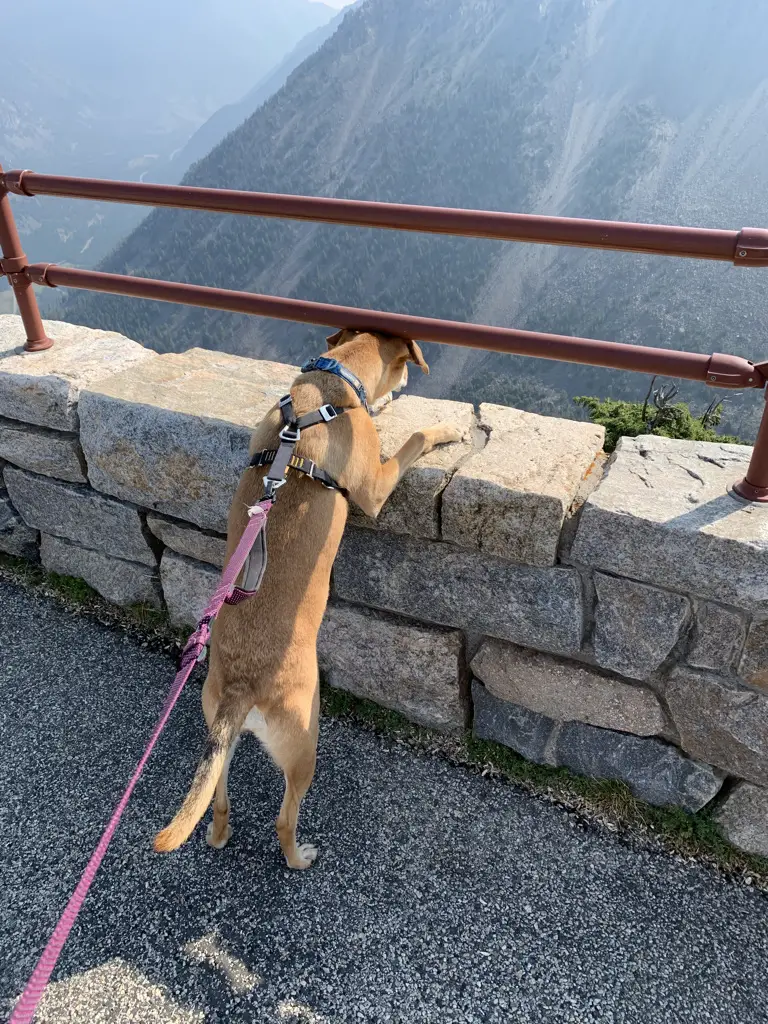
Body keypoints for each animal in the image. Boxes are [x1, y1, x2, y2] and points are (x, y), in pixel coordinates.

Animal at [153, 331, 460, 868]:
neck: (327, 387)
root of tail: (242, 687)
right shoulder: (375, 488)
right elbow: (415, 441)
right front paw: (446, 429)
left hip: (216, 731)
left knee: (218, 804)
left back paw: (219, 833)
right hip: (304, 741)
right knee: (284, 818)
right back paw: (300, 856)